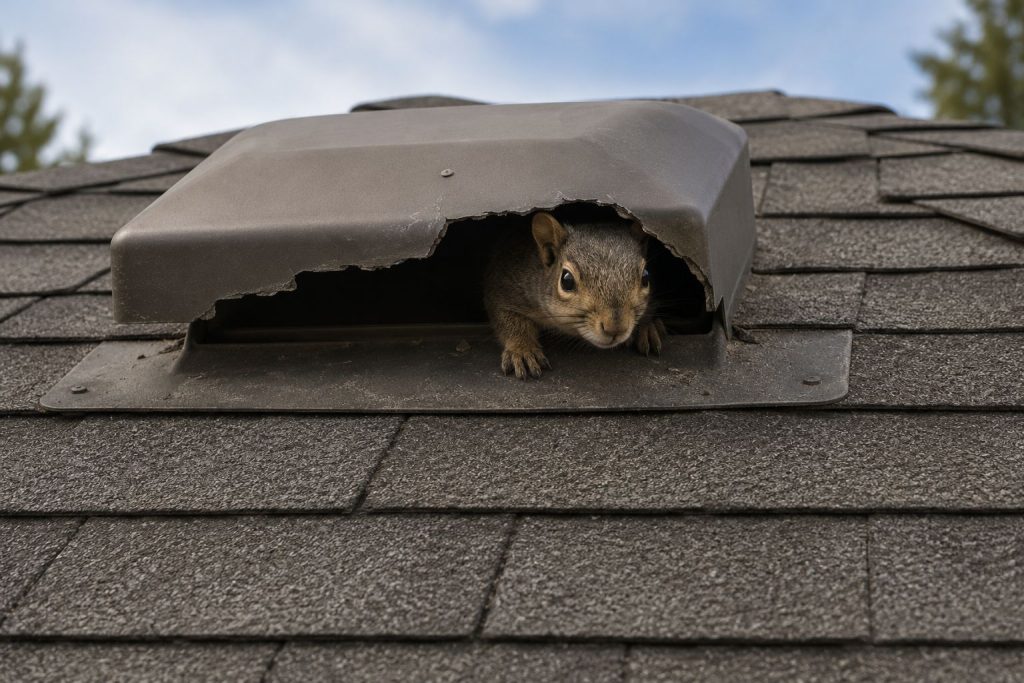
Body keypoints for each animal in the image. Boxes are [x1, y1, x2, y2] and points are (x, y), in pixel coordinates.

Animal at [483, 210, 666, 379]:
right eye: (567, 281)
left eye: (646, 277)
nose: (616, 328)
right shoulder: (506, 285)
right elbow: (507, 318)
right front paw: (523, 349)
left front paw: (647, 327)